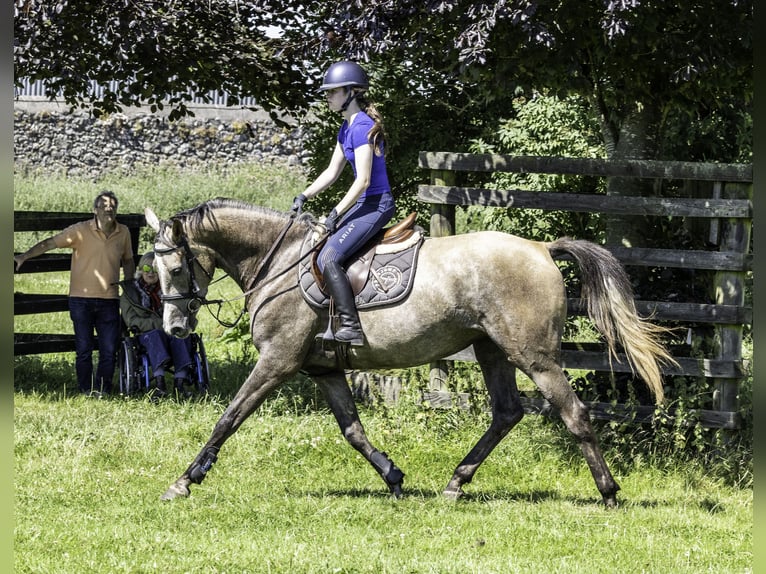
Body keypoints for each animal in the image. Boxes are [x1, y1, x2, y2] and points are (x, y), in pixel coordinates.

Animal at [145, 197, 675, 507]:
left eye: (175, 267)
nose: (174, 328)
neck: (280, 263)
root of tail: (541, 248)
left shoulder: (278, 361)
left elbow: (228, 419)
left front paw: (185, 480)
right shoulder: (323, 370)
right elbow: (353, 431)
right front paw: (393, 477)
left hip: (534, 356)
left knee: (574, 413)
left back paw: (608, 493)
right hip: (491, 350)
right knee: (506, 413)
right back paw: (455, 483)